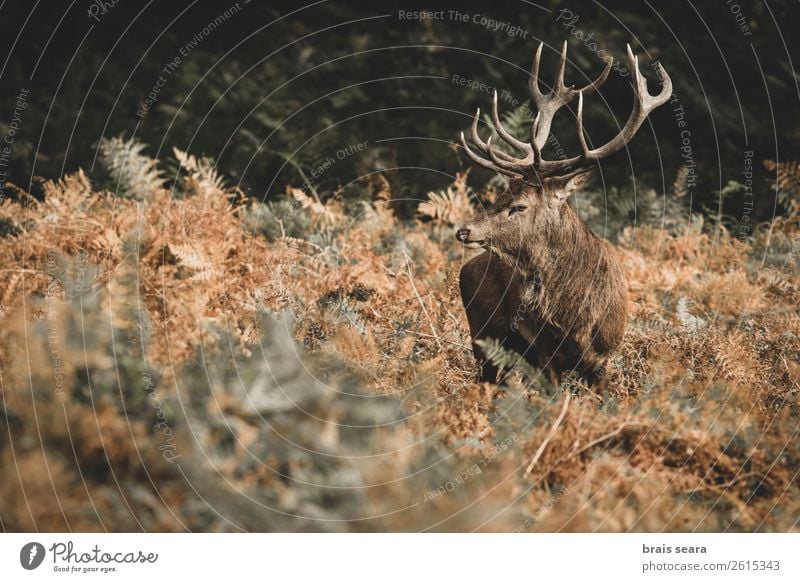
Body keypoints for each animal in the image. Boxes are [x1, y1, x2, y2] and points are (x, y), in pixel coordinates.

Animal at [456, 41, 668, 388]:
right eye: (501, 195)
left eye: (520, 205)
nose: (464, 230)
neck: (577, 320)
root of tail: (468, 267)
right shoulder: (546, 354)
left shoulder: (605, 358)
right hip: (482, 337)